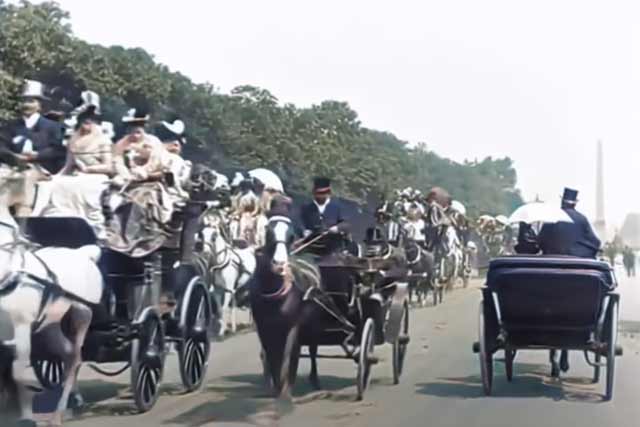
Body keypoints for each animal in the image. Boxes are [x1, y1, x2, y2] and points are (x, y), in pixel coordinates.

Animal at [0, 166, 102, 426]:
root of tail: (85, 252)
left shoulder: (21, 327)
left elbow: (18, 373)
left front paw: (27, 416)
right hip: (51, 325)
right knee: (65, 356)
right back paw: (73, 402)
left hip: (82, 314)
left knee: (74, 359)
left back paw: (58, 413)